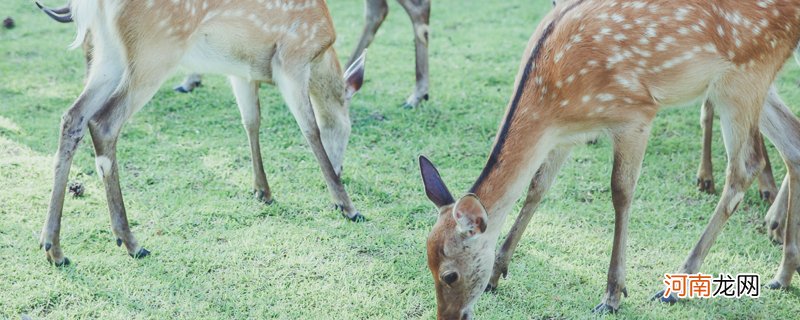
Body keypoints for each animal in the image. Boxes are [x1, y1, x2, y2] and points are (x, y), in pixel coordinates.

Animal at [35, 0, 366, 268]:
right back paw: (131, 242)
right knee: (104, 122)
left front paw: (263, 191)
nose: (341, 168)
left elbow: (251, 121)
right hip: (155, 50)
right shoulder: (291, 59)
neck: (320, 52)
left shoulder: (242, 71)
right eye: (348, 130)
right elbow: (310, 130)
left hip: (108, 53)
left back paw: (54, 248)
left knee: (73, 117)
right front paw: (347, 206)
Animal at [418, 0, 800, 318]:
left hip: (744, 74)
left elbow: (620, 192)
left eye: (450, 275)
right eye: (428, 265)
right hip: (751, 80)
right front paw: (499, 270)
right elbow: (537, 188)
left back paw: (677, 284)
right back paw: (783, 273)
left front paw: (613, 294)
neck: (553, 100)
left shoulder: (636, 115)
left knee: (744, 168)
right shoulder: (563, 136)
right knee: (792, 142)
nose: (448, 317)